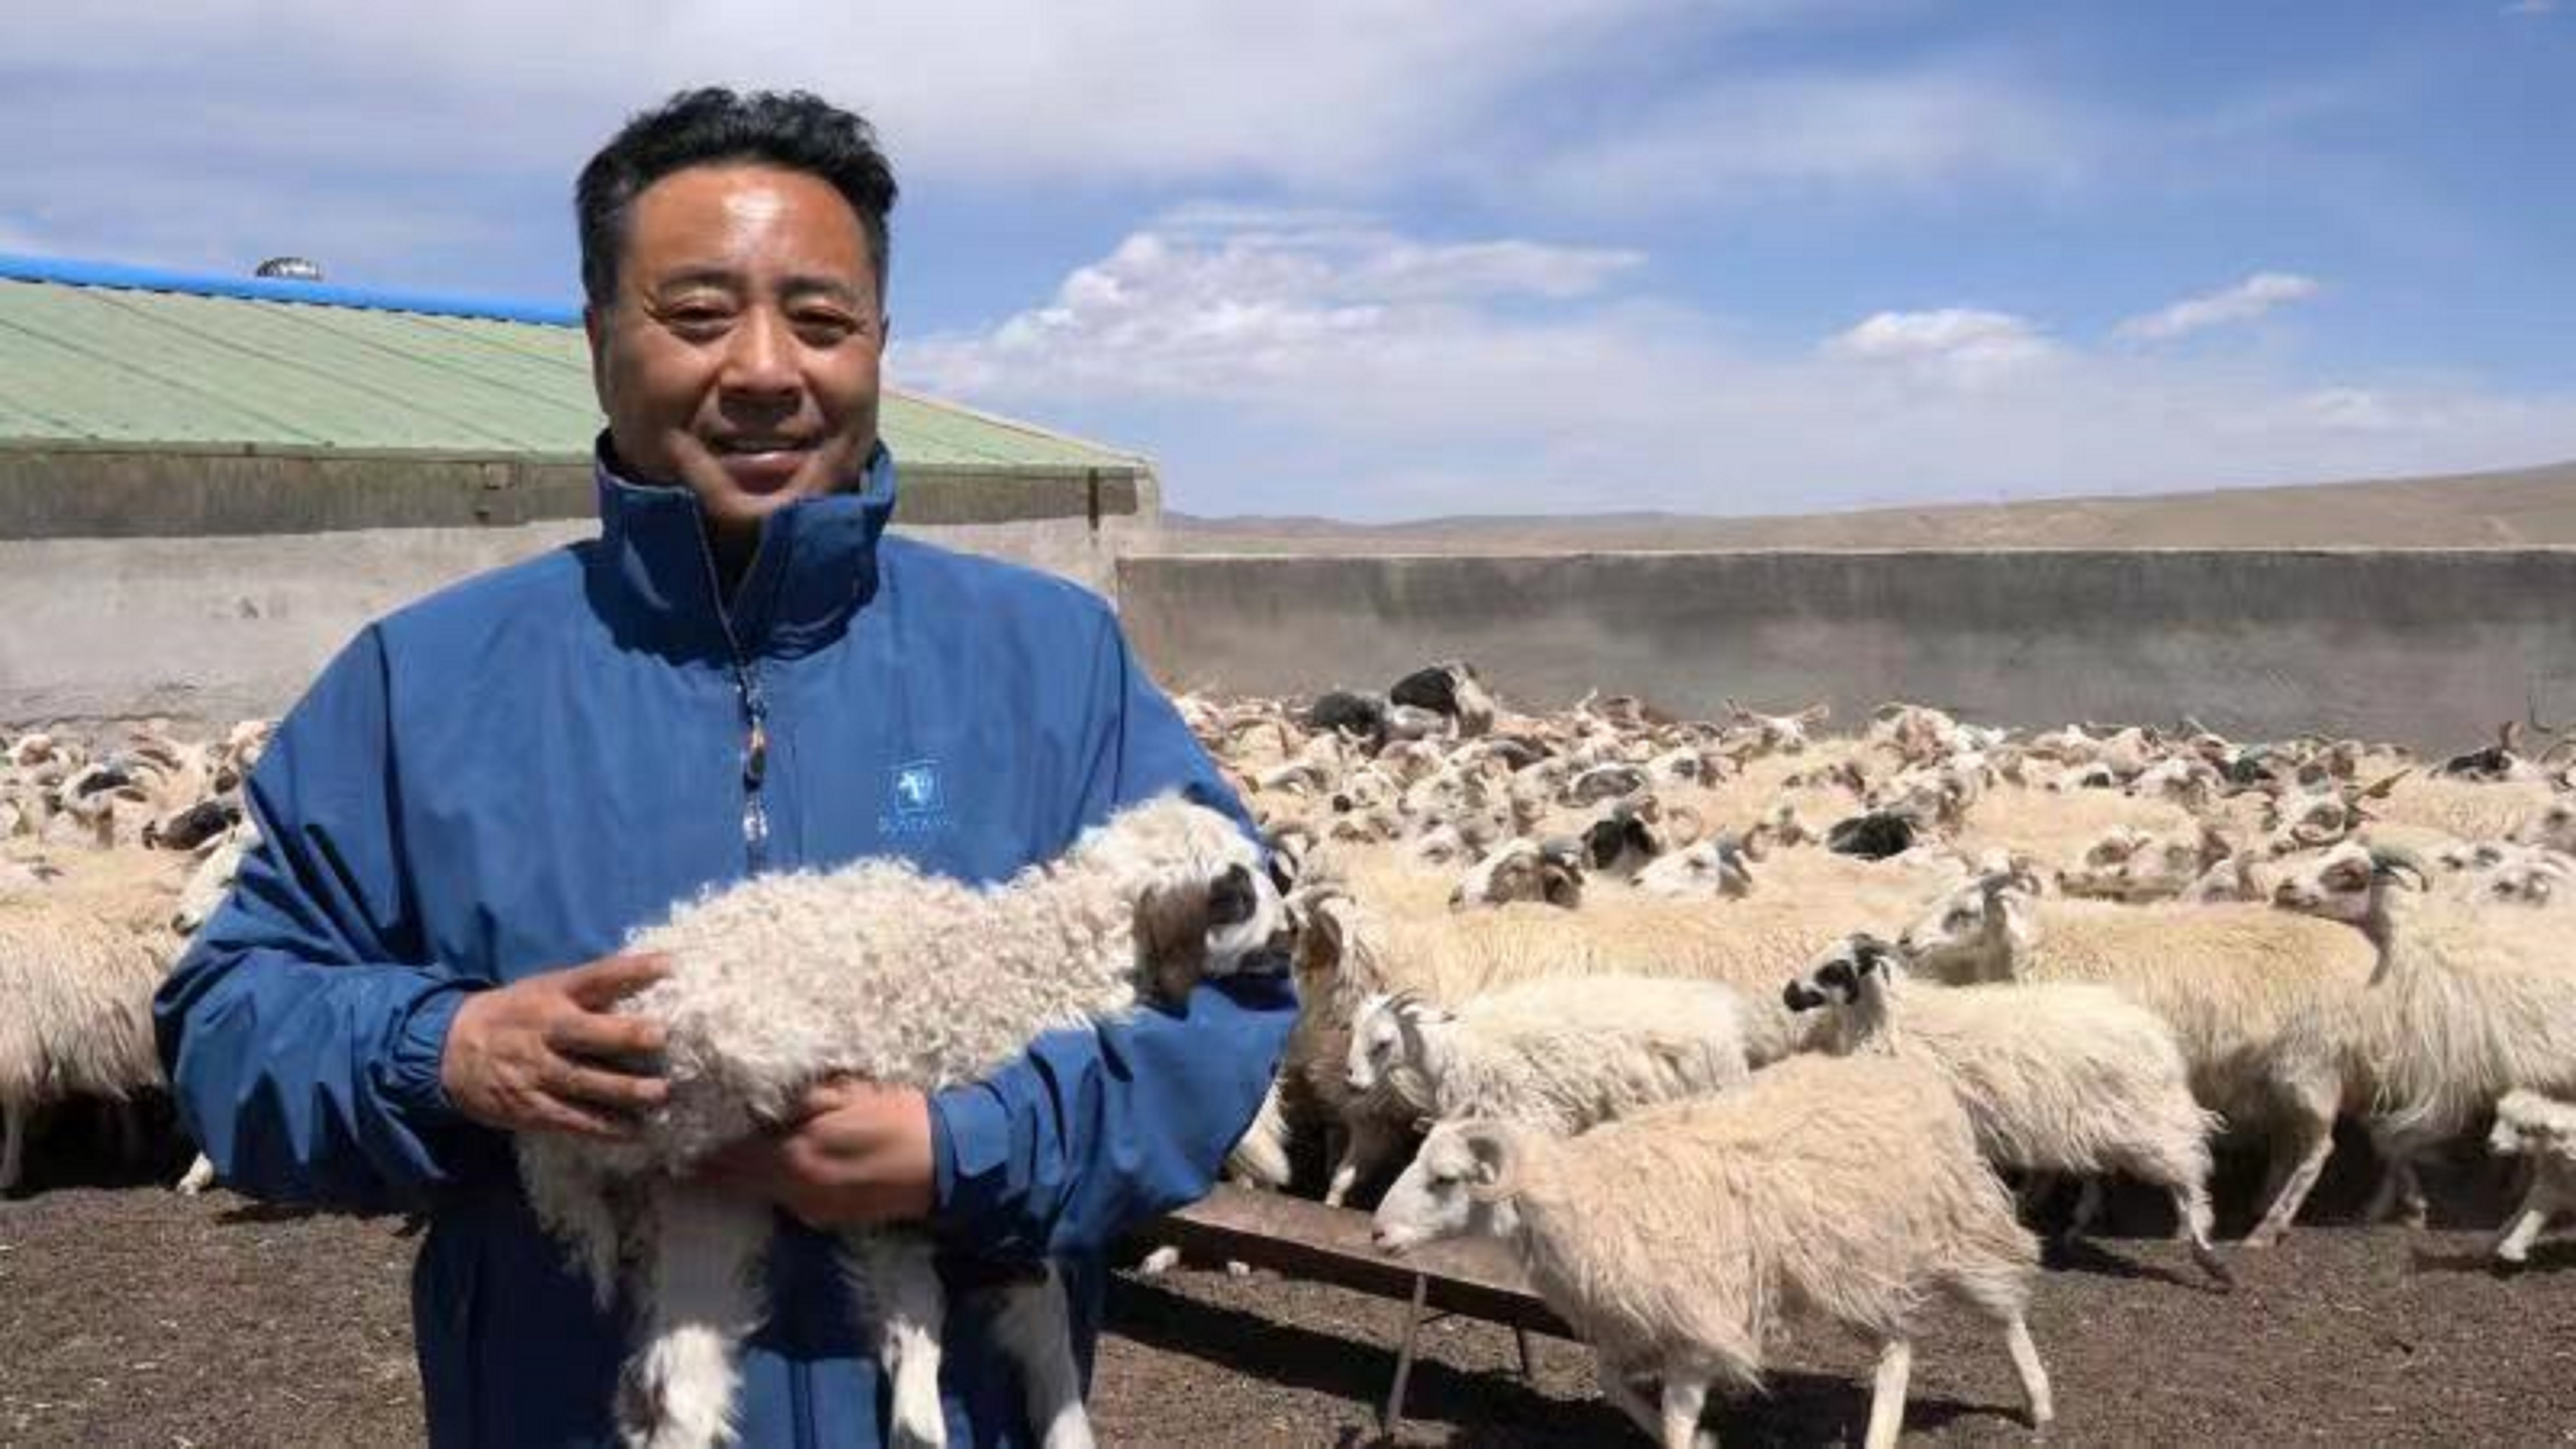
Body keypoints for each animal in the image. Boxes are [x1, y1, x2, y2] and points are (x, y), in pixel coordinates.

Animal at [513, 794, 1291, 1449]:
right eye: (1238, 892)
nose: (1290, 933)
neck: (1045, 953)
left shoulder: (904, 1194)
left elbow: (917, 1316)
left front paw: (918, 1421)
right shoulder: (977, 1198)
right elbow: (1034, 1321)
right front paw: (1064, 1428)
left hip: (700, 1205)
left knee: (679, 1397)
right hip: (730, 1070)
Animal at [1370, 1053, 2053, 1449]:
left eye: (1446, 1179)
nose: (1376, 1233)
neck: (1589, 1195)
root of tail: (1908, 1075)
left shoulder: (1699, 1325)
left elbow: (1675, 1421)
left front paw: (1690, 1437)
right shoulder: (1641, 1325)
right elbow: (1611, 1383)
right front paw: (1703, 1438)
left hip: (1944, 1228)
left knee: (1996, 1306)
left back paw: (2038, 1400)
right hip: (1854, 1265)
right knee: (1899, 1348)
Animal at [1783, 934, 2230, 1284]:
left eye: (1836, 970)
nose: (1788, 994)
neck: (1890, 1022)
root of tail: (2157, 1037)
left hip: (2142, 1120)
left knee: (2186, 1172)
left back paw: (2207, 1256)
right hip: (2090, 1123)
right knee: (2097, 1173)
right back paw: (2067, 1230)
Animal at [2251, 844, 2576, 1240]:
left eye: (2350, 874)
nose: (2286, 887)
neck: (2420, 948)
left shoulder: (2449, 1089)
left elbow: (2389, 1140)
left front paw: (2411, 1208)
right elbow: (2384, 1140)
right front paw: (2382, 1209)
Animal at [2487, 1089, 2576, 1265]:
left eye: (2521, 1130)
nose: (2491, 1144)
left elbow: (2531, 1215)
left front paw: (2510, 1250)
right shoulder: (2551, 1185)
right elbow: (2526, 1213)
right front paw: (2501, 1243)